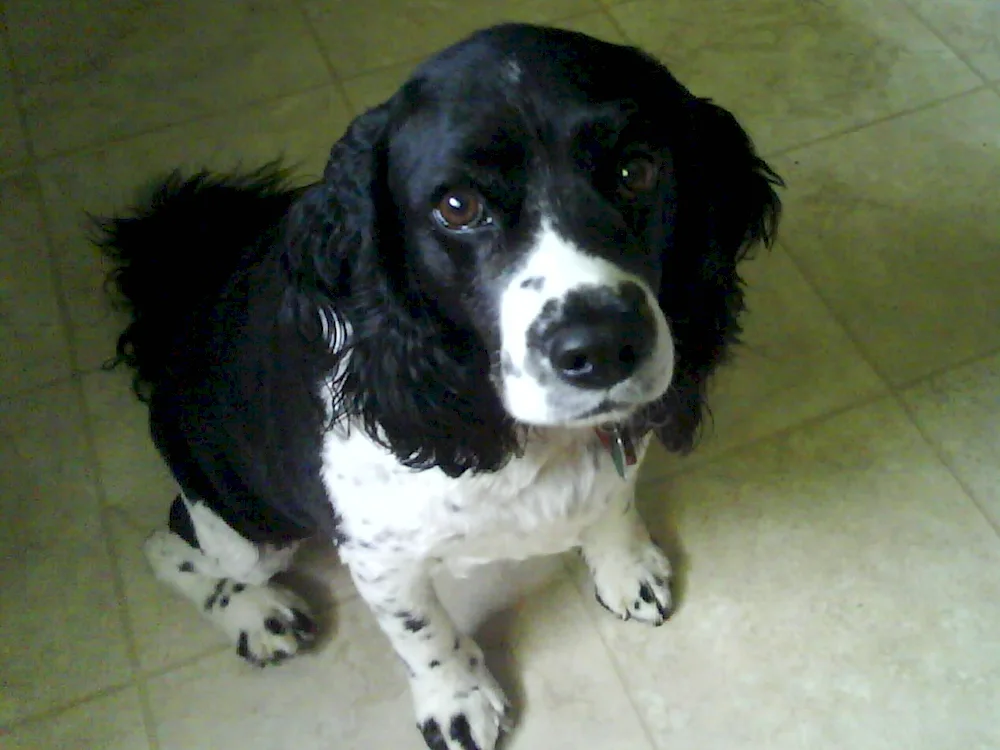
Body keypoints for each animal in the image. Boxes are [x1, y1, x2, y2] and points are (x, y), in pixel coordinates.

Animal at [95, 23, 780, 750]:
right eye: (457, 206)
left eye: (637, 170)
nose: (601, 348)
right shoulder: (378, 557)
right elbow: (421, 632)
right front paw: (456, 698)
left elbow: (614, 500)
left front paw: (626, 566)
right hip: (245, 524)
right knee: (168, 545)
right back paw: (258, 613)